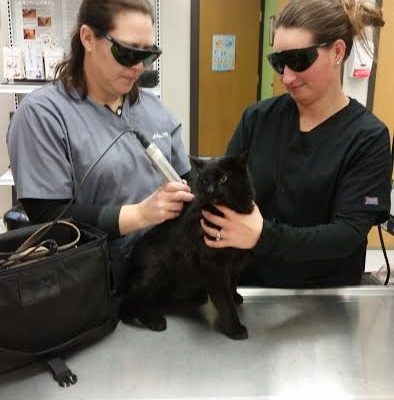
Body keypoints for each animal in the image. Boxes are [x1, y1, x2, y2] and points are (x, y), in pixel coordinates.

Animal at [120, 152, 255, 340]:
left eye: (223, 178)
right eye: (204, 180)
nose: (210, 190)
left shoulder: (235, 264)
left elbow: (233, 283)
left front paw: (235, 296)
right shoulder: (214, 269)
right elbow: (225, 302)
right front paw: (235, 329)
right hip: (153, 274)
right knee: (127, 305)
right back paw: (155, 321)